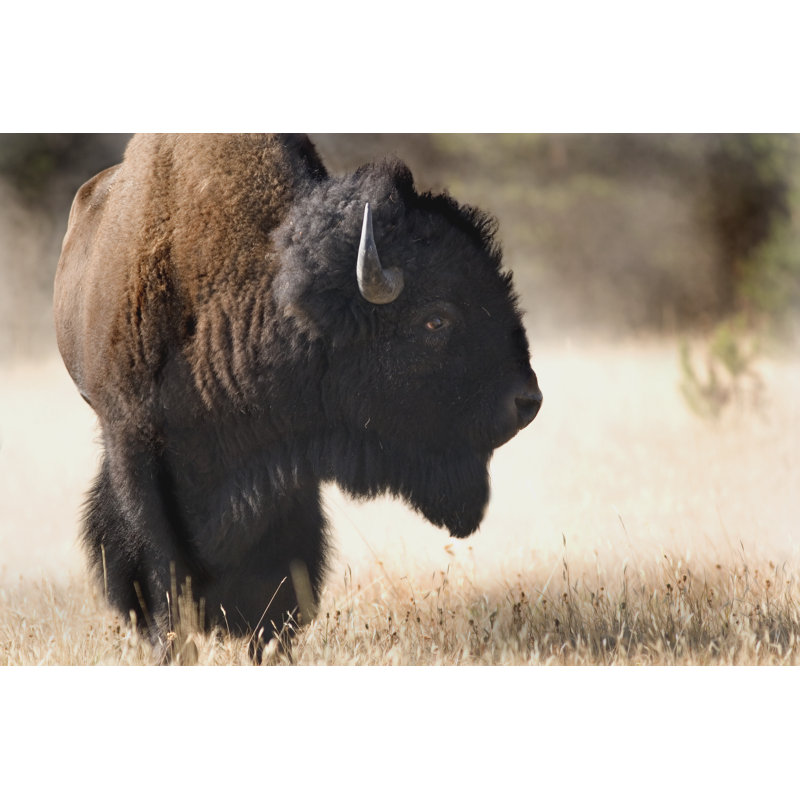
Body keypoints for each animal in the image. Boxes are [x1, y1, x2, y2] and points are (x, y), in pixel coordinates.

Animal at [54, 134, 542, 656]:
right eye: (436, 319)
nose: (527, 402)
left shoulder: (288, 469)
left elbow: (286, 573)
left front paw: (268, 646)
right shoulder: (138, 451)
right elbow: (161, 569)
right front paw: (172, 646)